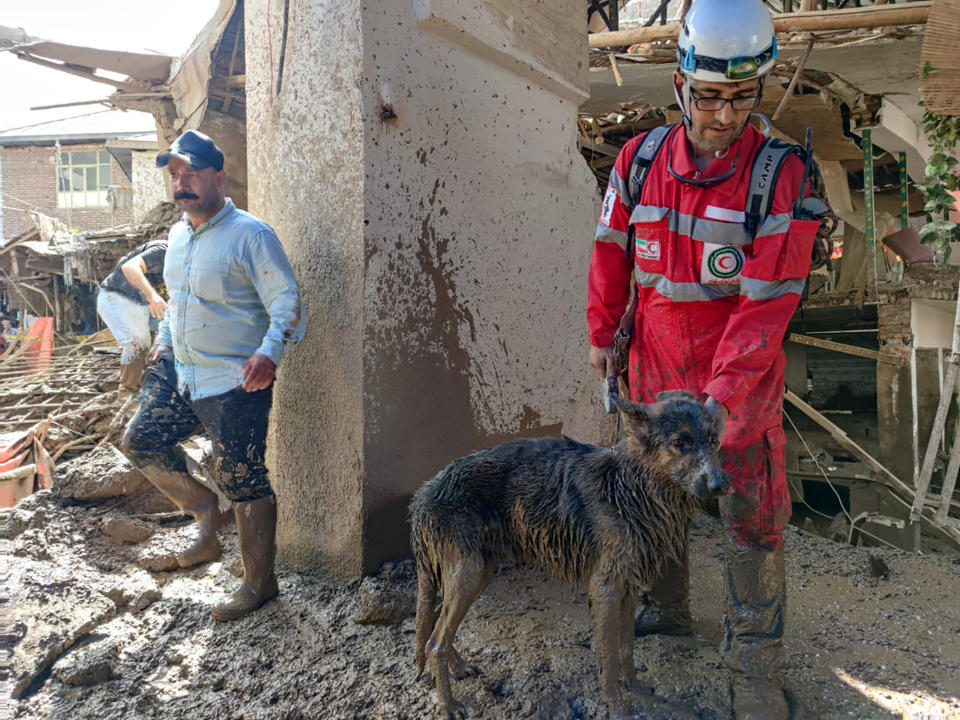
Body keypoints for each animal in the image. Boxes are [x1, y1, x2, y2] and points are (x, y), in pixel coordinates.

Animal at [408, 390, 732, 716]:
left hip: (476, 575)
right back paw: (448, 705)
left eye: (714, 440)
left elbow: (626, 649)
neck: (630, 486)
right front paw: (616, 706)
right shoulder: (604, 590)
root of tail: (422, 495)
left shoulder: (627, 588)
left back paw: (458, 668)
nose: (721, 485)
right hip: (468, 575)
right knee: (434, 642)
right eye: (680, 442)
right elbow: (607, 660)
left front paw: (633, 686)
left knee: (436, 627)